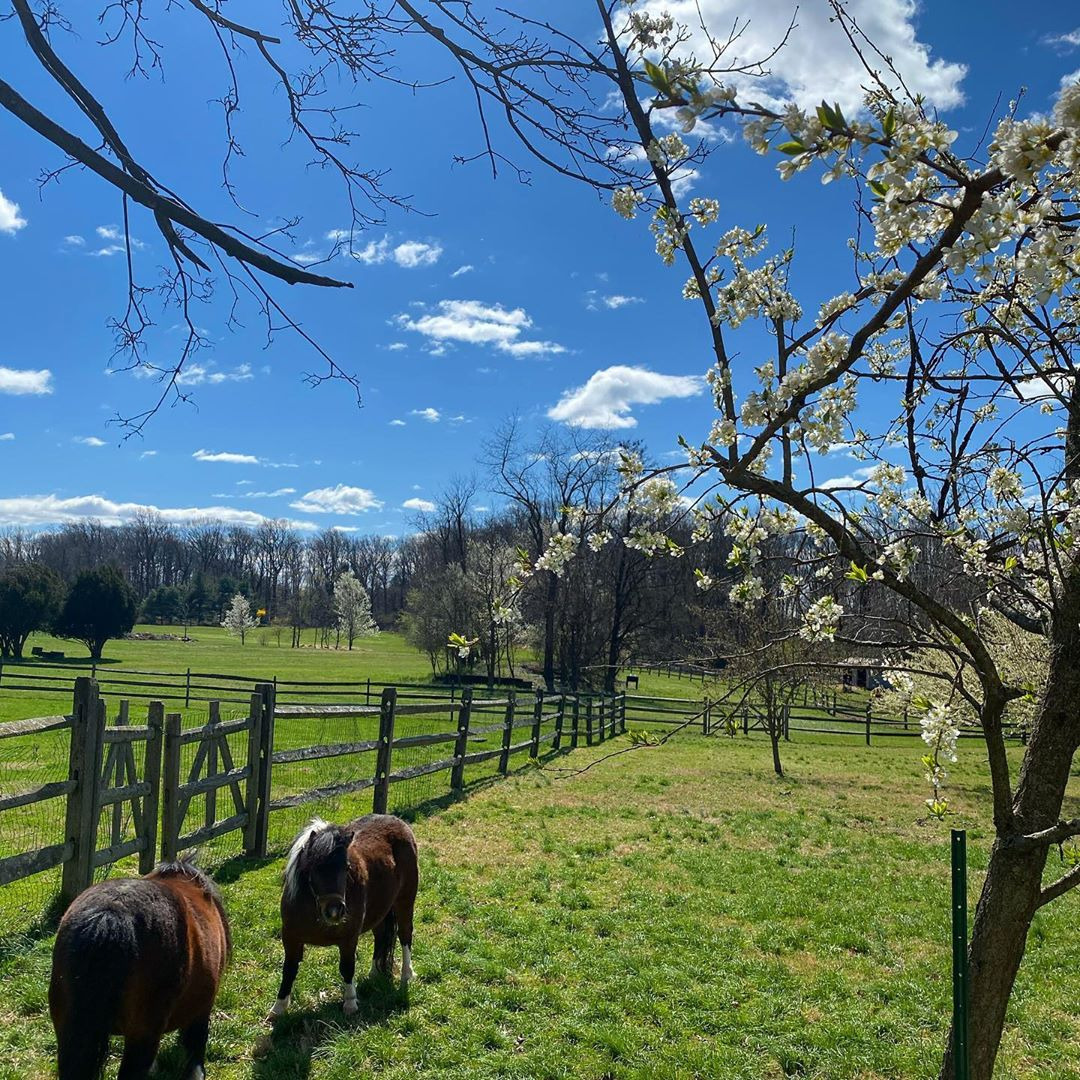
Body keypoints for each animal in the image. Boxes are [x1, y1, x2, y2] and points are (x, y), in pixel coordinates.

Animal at [270, 812, 416, 1015]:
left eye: (346, 867)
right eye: (314, 866)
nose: (334, 911)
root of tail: (397, 821)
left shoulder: (349, 937)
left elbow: (347, 967)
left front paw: (350, 1002)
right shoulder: (290, 937)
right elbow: (289, 969)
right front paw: (278, 1007)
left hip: (405, 901)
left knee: (405, 935)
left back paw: (406, 974)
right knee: (380, 936)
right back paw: (375, 973)